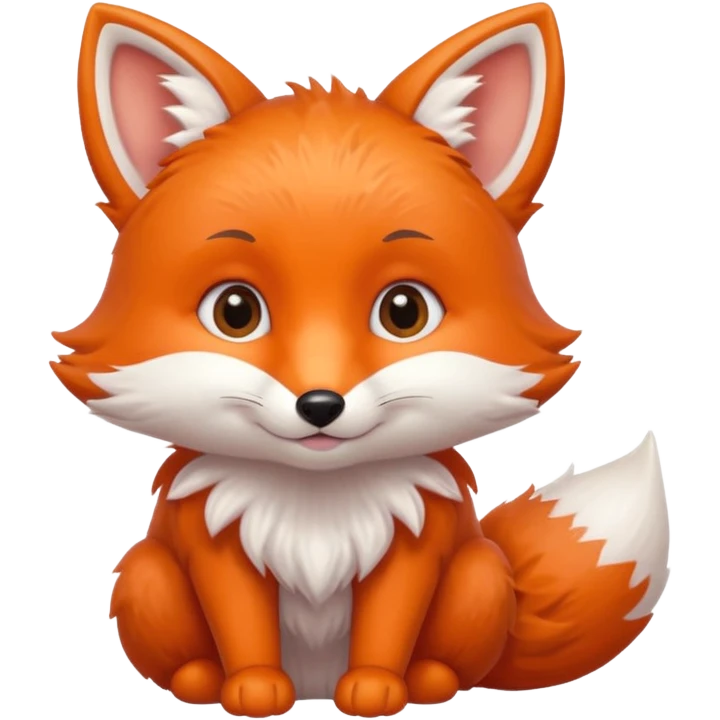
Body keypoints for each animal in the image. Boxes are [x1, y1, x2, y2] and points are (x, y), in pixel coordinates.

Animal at [55, 2, 671, 717]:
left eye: (404, 311)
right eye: (235, 311)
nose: (320, 404)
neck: (319, 505)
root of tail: (314, 685)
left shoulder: (413, 545)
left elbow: (388, 626)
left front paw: (377, 688)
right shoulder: (217, 543)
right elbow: (242, 626)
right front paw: (253, 688)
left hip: (481, 573)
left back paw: (429, 680)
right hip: (146, 572)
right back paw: (200, 680)